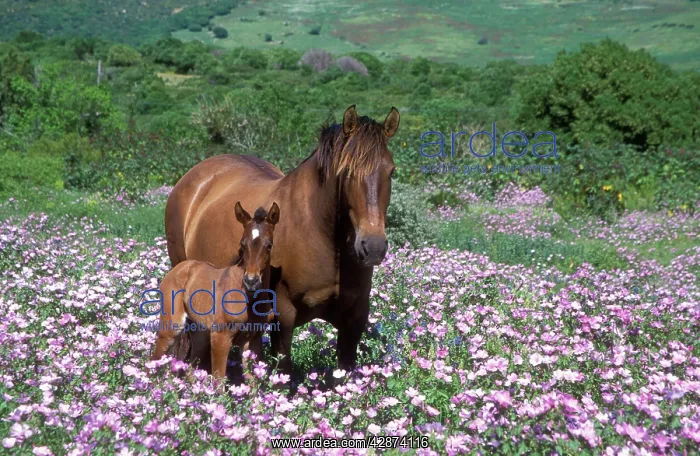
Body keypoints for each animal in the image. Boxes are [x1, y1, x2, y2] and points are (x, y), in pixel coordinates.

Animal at [151, 202, 280, 380]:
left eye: (269, 245)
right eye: (242, 244)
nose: (251, 281)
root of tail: (178, 268)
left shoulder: (252, 340)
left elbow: (252, 381)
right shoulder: (220, 337)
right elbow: (218, 380)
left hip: (200, 332)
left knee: (192, 368)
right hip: (172, 327)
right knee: (155, 359)